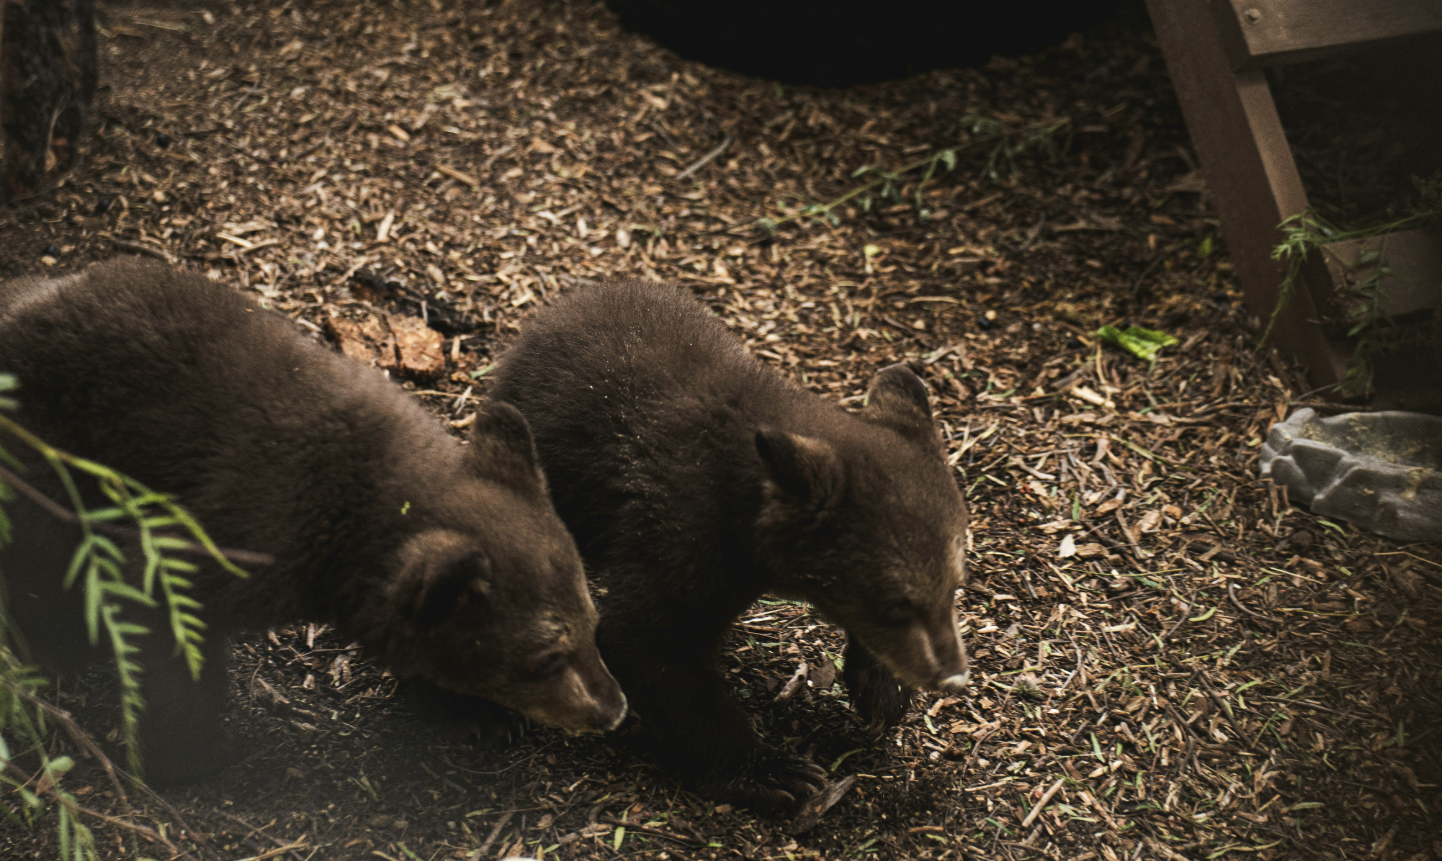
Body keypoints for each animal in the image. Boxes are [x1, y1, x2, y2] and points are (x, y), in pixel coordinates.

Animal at [0, 257, 626, 785]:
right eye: (545, 658)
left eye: (592, 623)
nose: (614, 709)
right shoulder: (226, 534)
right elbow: (169, 633)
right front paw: (187, 756)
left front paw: (474, 712)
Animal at [489, 280, 970, 811]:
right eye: (895, 605)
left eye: (955, 587)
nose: (952, 677)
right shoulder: (685, 530)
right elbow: (652, 642)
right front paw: (773, 771)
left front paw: (882, 689)